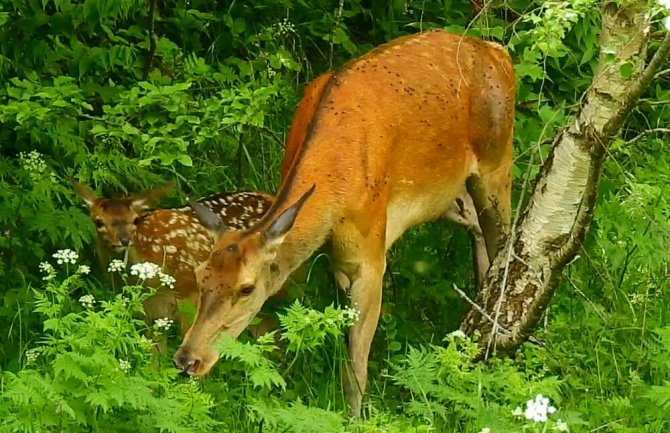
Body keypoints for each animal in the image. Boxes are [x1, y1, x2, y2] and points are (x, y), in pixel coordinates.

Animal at [173, 29, 516, 416]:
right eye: (200, 275)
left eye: (247, 288)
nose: (187, 359)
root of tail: (497, 51)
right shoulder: (335, 257)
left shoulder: (371, 254)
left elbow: (356, 366)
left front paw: (354, 416)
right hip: (448, 194)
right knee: (474, 224)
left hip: (497, 159)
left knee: (505, 237)